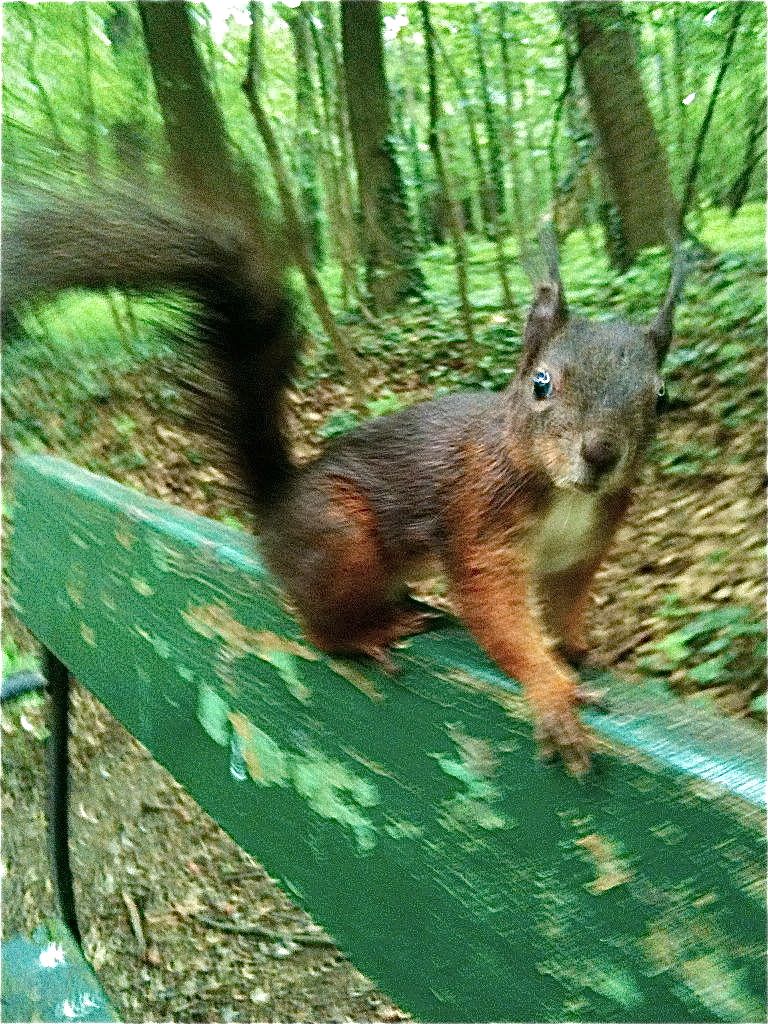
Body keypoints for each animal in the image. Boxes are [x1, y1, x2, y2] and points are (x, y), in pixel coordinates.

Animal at [3, 186, 692, 774]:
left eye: (661, 398)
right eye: (542, 383)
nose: (601, 454)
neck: (565, 496)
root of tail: (274, 508)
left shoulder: (581, 551)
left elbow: (565, 602)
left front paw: (576, 649)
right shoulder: (479, 517)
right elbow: (493, 607)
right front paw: (551, 690)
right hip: (339, 538)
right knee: (321, 632)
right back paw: (370, 632)